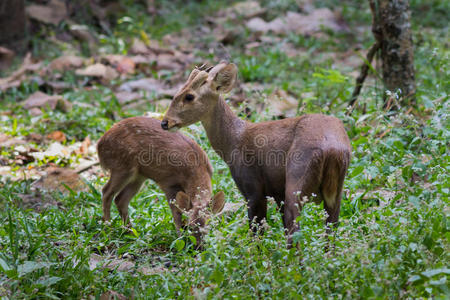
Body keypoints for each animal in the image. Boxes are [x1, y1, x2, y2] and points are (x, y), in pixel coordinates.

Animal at [97, 116, 225, 246]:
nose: (199, 246)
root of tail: (99, 145)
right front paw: (180, 239)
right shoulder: (168, 183)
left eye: (209, 226)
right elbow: (176, 213)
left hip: (139, 175)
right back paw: (109, 229)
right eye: (190, 226)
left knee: (120, 199)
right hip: (122, 166)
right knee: (106, 192)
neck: (195, 170)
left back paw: (130, 233)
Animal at [161, 61, 352, 246]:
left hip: (296, 178)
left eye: (189, 96)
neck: (233, 142)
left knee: (295, 232)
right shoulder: (276, 192)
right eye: (177, 91)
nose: (165, 122)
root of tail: (333, 151)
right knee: (330, 231)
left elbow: (256, 234)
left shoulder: (253, 189)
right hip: (335, 192)